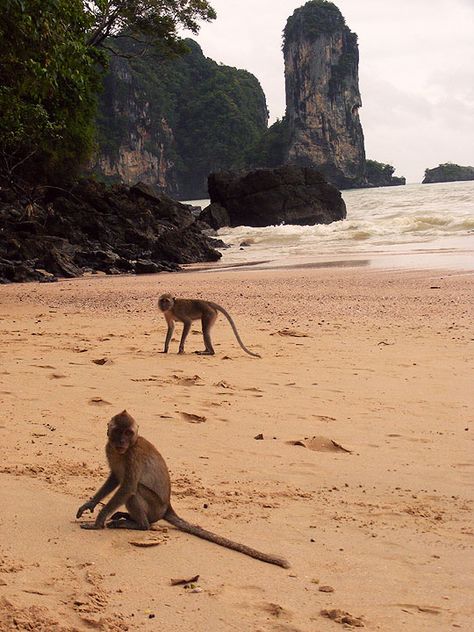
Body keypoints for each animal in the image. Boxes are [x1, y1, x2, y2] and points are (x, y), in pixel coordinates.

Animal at [77, 412, 288, 572]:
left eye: (128, 433)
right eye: (117, 431)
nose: (121, 441)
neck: (125, 449)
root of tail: (167, 508)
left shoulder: (133, 455)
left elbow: (128, 486)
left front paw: (98, 522)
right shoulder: (110, 449)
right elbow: (115, 478)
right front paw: (90, 504)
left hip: (154, 506)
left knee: (135, 491)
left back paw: (139, 525)